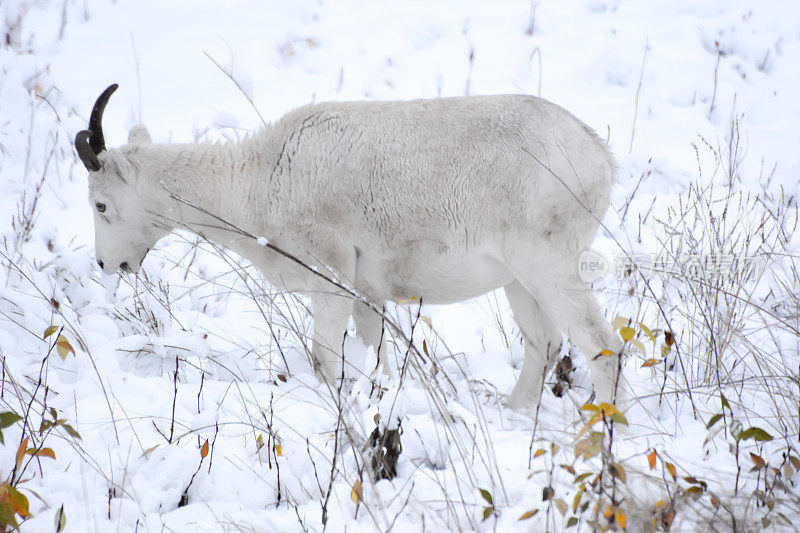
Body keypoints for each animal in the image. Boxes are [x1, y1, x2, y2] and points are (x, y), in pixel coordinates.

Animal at [76, 84, 624, 408]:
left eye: (101, 204)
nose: (109, 263)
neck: (261, 180)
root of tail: (596, 153)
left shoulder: (332, 285)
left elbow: (324, 357)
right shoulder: (368, 298)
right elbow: (374, 359)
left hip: (548, 268)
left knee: (602, 346)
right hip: (519, 281)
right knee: (544, 343)